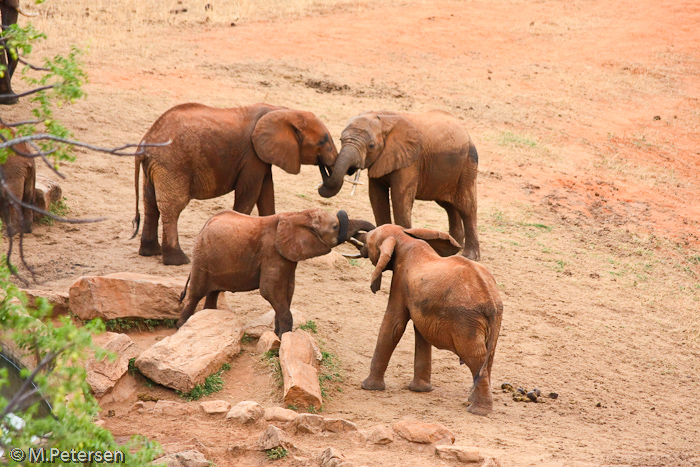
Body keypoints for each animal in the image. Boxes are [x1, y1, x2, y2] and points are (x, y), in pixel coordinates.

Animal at [133, 104, 340, 268]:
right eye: (324, 142)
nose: (324, 168)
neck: (284, 110)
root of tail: (144, 142)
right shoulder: (251, 154)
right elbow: (249, 193)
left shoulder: (261, 156)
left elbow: (266, 193)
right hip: (172, 165)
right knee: (173, 207)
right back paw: (178, 260)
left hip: (156, 167)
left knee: (150, 203)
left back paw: (150, 252)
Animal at [178, 209, 374, 336]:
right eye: (334, 227)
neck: (298, 215)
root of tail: (205, 225)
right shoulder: (272, 252)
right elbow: (270, 291)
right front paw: (283, 341)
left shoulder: (286, 256)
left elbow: (288, 291)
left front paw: (278, 336)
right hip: (202, 256)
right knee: (195, 294)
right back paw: (180, 326)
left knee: (213, 292)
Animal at [318, 111, 478, 262]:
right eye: (340, 140)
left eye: (371, 146)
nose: (320, 161)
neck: (382, 119)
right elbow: (377, 198)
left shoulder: (410, 161)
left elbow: (400, 198)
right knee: (448, 206)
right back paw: (454, 248)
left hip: (468, 165)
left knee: (466, 207)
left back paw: (469, 256)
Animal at [358, 224, 500, 416]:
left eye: (369, 240)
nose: (360, 240)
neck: (405, 237)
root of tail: (490, 299)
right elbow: (420, 332)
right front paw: (420, 390)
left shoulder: (400, 281)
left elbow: (394, 325)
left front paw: (367, 387)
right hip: (493, 321)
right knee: (488, 357)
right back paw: (473, 401)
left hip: (467, 322)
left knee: (475, 357)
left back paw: (478, 411)